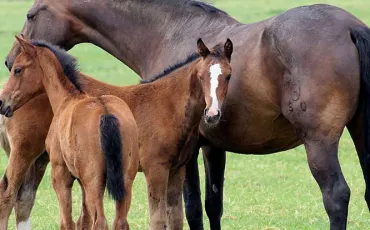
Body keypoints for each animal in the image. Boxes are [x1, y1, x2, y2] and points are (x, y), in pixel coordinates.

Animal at [0, 35, 139, 228]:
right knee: (120, 221)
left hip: (94, 182)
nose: (2, 102)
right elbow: (84, 220)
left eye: (18, 70)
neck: (66, 99)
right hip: (125, 180)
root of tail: (106, 113)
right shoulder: (81, 181)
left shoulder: (60, 175)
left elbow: (67, 222)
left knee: (101, 222)